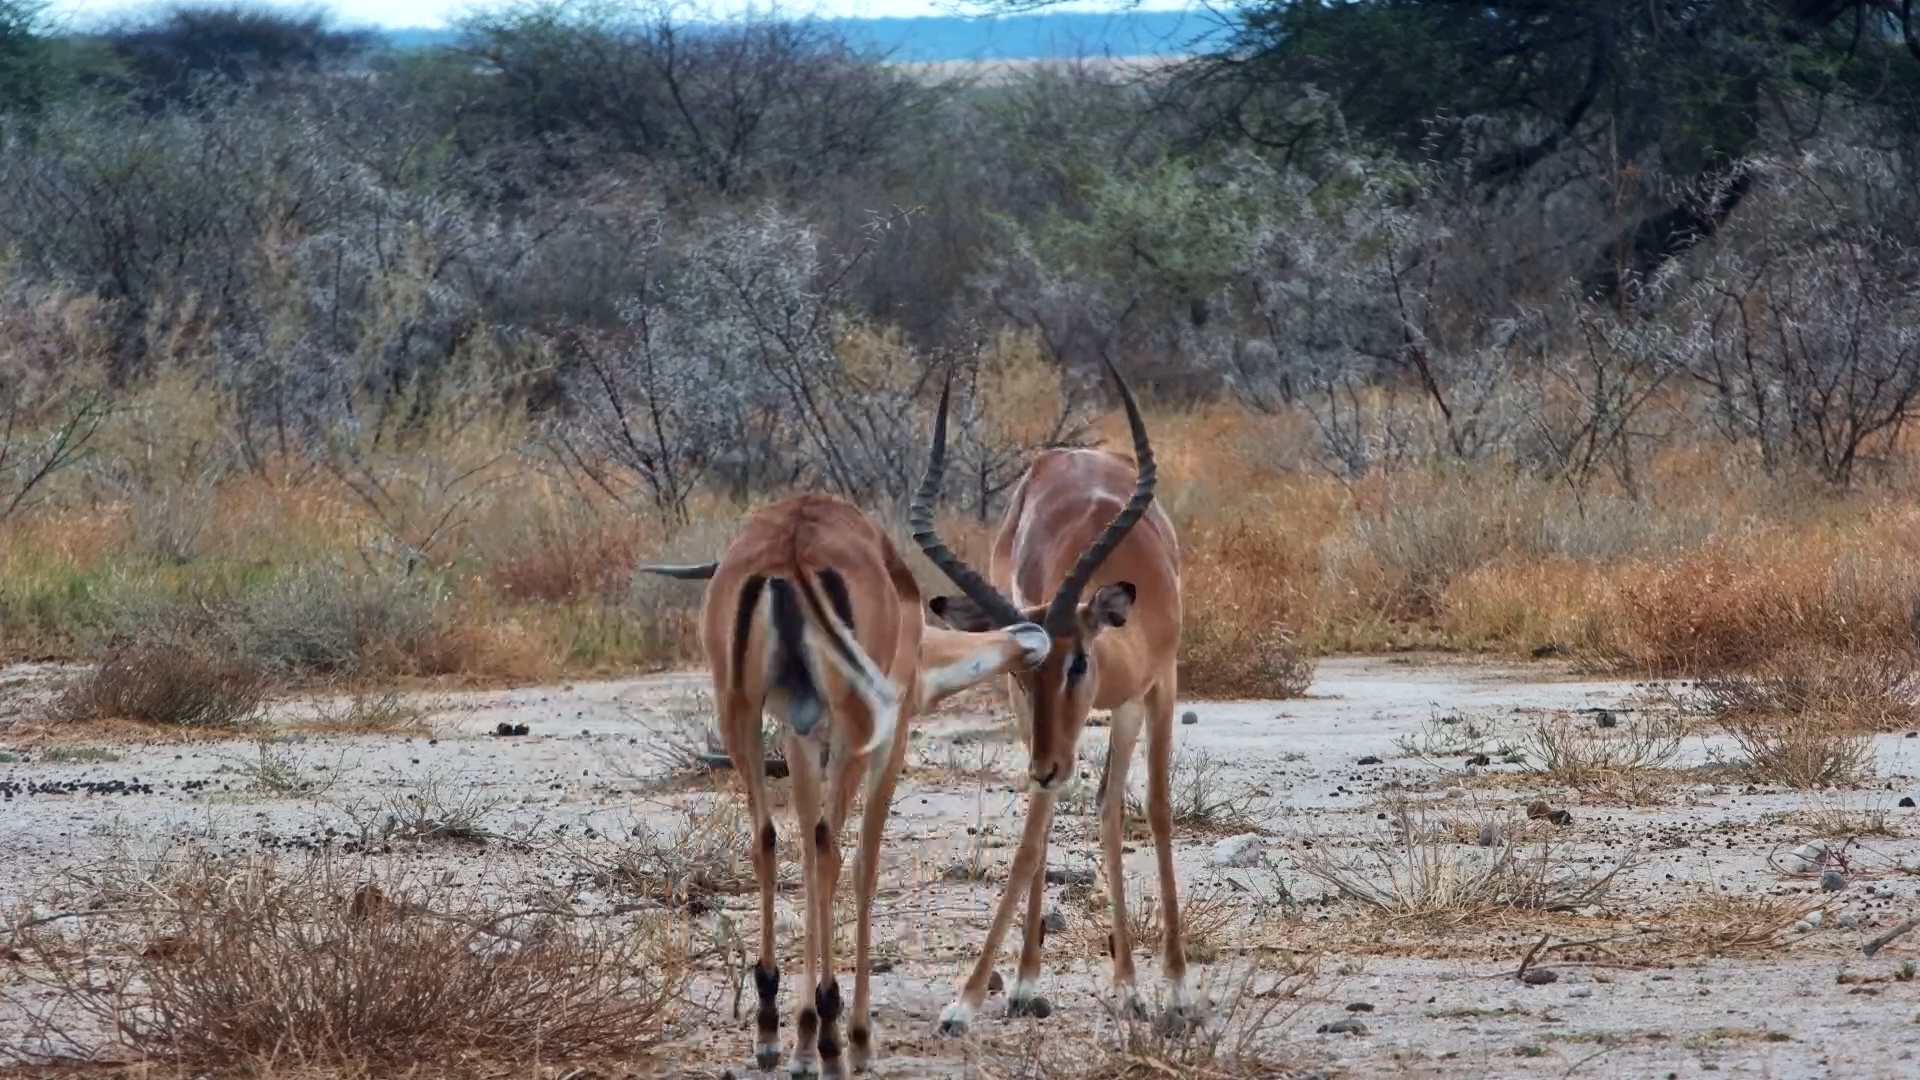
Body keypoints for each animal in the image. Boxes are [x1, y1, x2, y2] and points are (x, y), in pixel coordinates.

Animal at [641, 494, 1048, 1077]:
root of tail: (790, 546)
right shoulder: (888, 737)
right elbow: (863, 865)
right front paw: (852, 1038)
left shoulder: (801, 733)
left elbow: (808, 861)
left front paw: (801, 1040)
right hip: (855, 729)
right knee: (832, 848)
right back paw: (837, 1041)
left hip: (739, 713)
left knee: (770, 840)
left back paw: (770, 1029)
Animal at [910, 360, 1198, 1035]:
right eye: (1024, 673)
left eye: (1079, 660)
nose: (1045, 767)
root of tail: (1066, 454)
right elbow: (1032, 836)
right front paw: (968, 999)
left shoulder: (1158, 686)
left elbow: (1157, 810)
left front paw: (1173, 989)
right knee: (1057, 817)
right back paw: (1028, 984)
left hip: (1117, 716)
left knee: (1111, 806)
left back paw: (1128, 986)